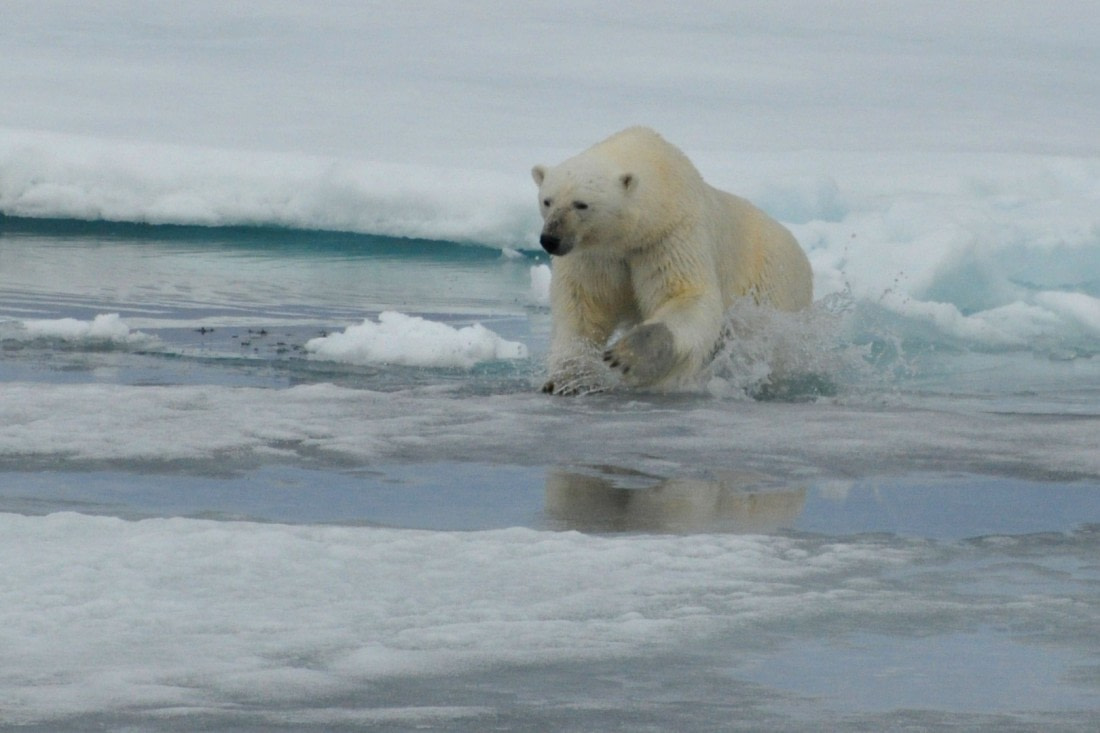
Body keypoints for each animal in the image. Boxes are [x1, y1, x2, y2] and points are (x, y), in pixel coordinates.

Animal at [531, 126, 813, 394]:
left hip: (769, 285)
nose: (550, 239)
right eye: (547, 201)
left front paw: (628, 355)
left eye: (581, 204)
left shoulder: (670, 236)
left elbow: (686, 295)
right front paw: (569, 379)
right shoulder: (594, 255)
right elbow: (582, 305)